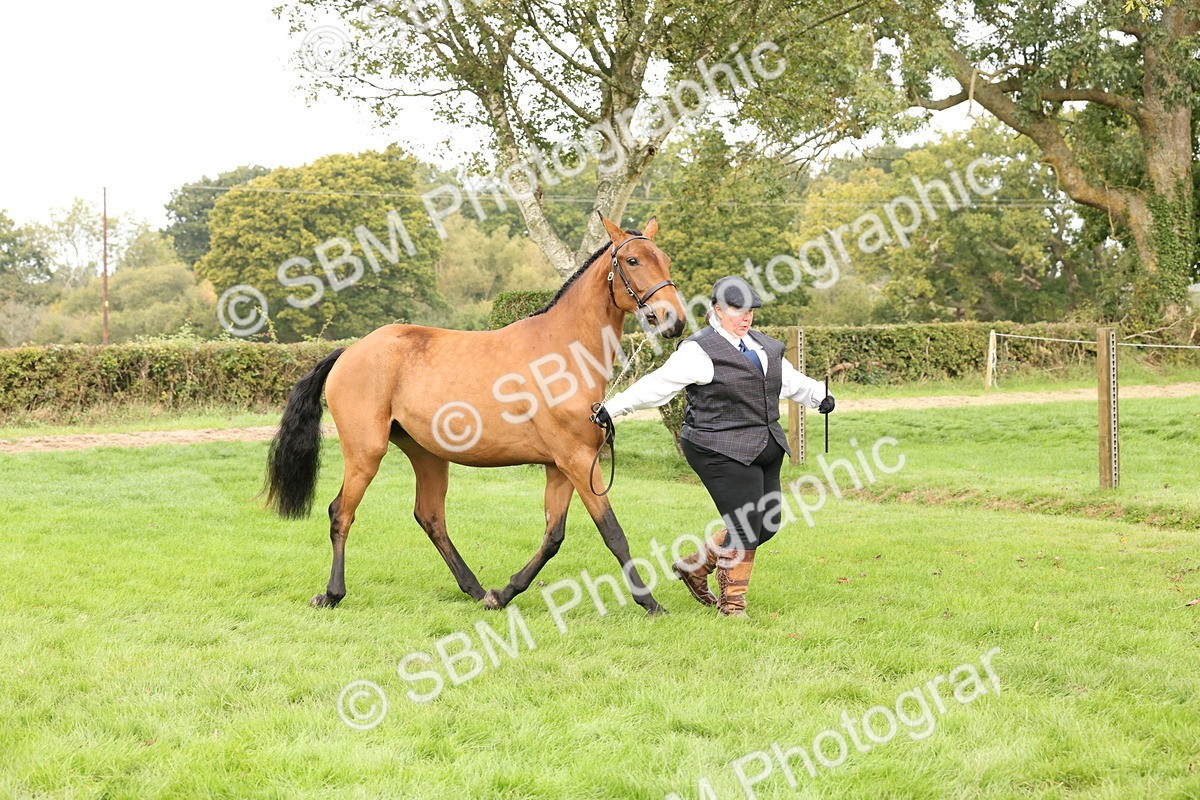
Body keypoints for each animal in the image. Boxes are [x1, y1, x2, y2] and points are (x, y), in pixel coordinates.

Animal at [265, 215, 688, 615]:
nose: (674, 320)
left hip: (427, 455)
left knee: (430, 517)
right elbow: (613, 532)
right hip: (365, 453)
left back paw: (476, 589)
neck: (562, 353)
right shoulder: (578, 460)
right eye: (633, 260)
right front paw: (651, 603)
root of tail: (349, 351)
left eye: (666, 259)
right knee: (342, 512)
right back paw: (332, 594)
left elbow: (553, 536)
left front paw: (503, 594)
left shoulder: (562, 466)